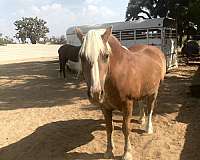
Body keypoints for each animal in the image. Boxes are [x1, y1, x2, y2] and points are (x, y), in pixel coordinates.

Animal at [75, 26, 166, 159]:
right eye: (82, 57)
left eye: (106, 55)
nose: (96, 94)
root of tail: (154, 49)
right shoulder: (105, 107)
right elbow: (109, 128)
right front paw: (109, 151)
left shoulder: (127, 104)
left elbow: (126, 128)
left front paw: (127, 153)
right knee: (141, 103)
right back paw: (141, 119)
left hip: (154, 91)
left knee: (150, 108)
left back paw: (148, 128)